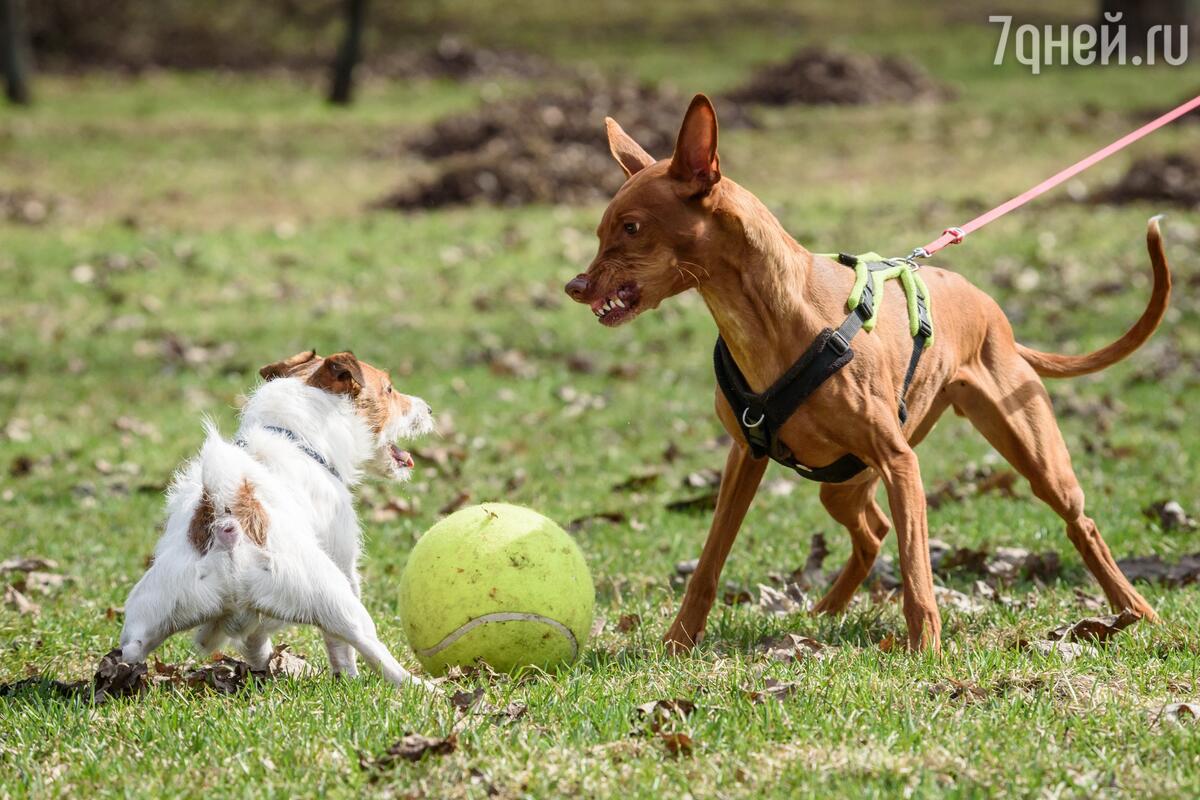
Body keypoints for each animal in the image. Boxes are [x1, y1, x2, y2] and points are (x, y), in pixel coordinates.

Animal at [117, 350, 434, 690]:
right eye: (389, 389)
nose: (429, 408)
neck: (296, 438)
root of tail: (229, 525)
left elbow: (255, 640)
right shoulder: (344, 559)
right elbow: (340, 648)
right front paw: (347, 678)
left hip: (149, 613)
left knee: (131, 651)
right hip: (335, 599)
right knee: (372, 650)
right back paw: (422, 687)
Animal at [564, 97, 1171, 652]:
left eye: (631, 227)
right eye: (600, 231)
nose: (575, 287)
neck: (770, 318)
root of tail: (994, 313)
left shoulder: (901, 463)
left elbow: (917, 572)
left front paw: (926, 652)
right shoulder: (745, 456)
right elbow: (709, 564)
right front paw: (678, 642)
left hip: (1032, 455)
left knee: (1080, 524)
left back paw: (1135, 610)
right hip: (842, 483)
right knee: (873, 532)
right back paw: (825, 613)